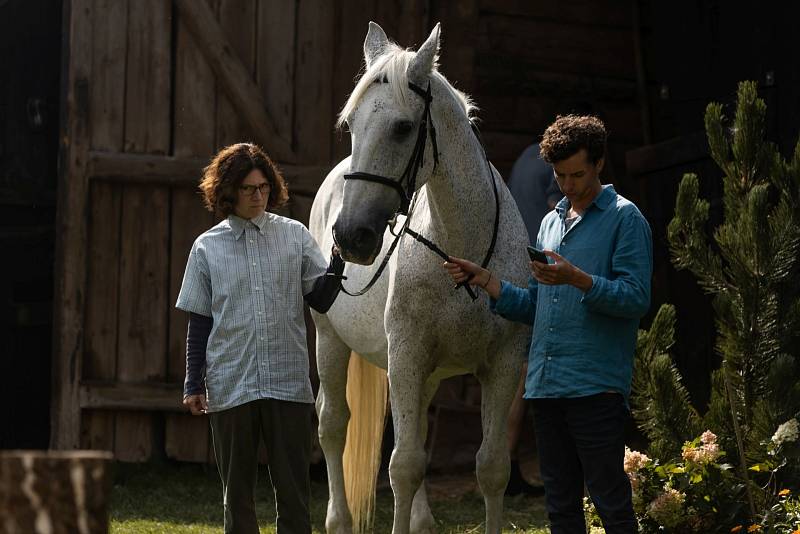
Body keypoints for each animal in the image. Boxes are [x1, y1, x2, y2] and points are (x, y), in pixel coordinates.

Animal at [310, 22, 532, 534]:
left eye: (402, 127)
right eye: (352, 126)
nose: (350, 236)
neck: (464, 253)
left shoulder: (503, 364)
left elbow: (491, 467)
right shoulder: (407, 355)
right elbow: (404, 466)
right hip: (330, 340)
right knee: (333, 425)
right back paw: (338, 519)